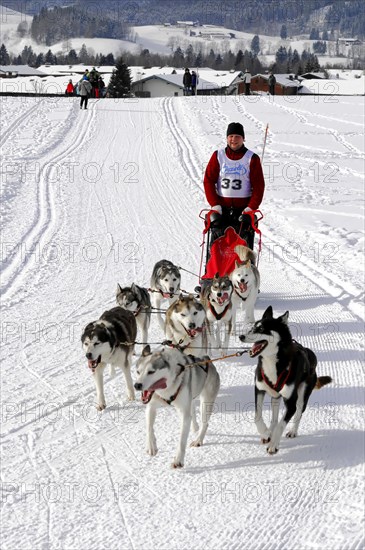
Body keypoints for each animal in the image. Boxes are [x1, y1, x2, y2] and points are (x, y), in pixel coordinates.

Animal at [240, 308, 332, 454]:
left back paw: (292, 431)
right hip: (275, 397)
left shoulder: (291, 403)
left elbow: (281, 425)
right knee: (274, 418)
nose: (241, 336)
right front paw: (265, 433)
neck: (273, 361)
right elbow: (257, 416)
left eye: (261, 329)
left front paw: (273, 445)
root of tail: (310, 353)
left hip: (302, 396)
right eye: (253, 327)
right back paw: (269, 431)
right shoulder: (259, 389)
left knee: (298, 414)